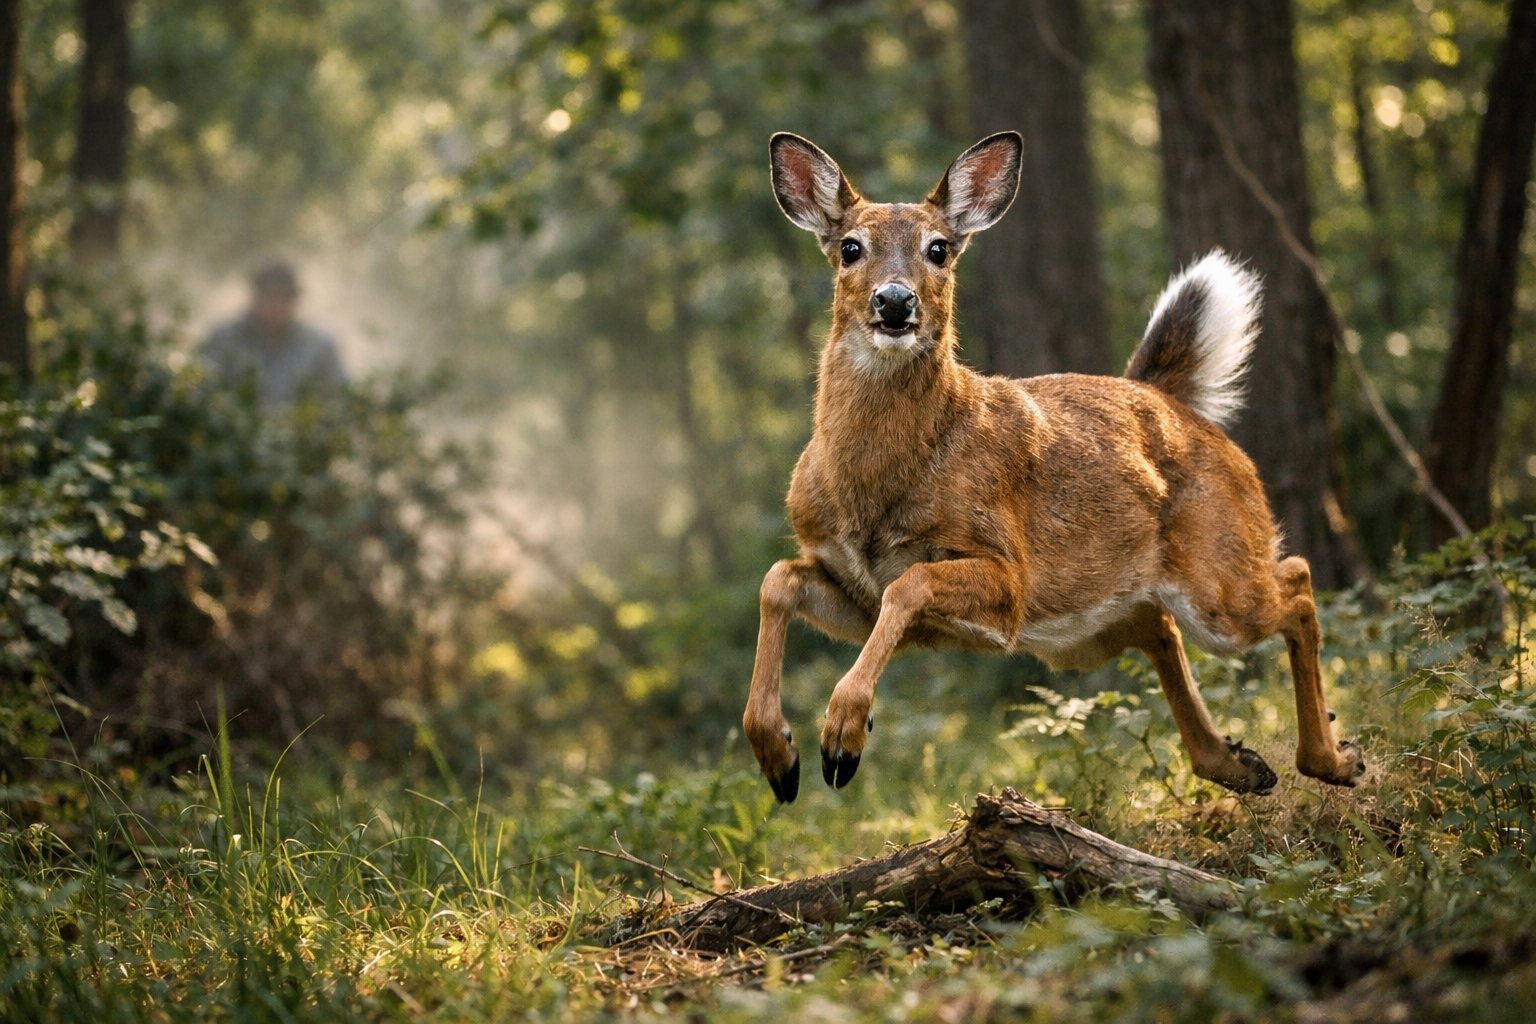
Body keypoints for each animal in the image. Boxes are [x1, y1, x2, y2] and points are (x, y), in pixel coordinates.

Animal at [741, 130, 1368, 804]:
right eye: (850, 247)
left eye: (939, 249)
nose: (894, 300)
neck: (873, 489)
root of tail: (1166, 399)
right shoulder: (854, 589)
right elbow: (777, 579)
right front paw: (780, 757)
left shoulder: (1007, 575)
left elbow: (911, 582)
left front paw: (842, 739)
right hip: (1084, 631)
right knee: (1161, 625)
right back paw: (1239, 763)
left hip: (1217, 582)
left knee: (1296, 583)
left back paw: (1333, 760)